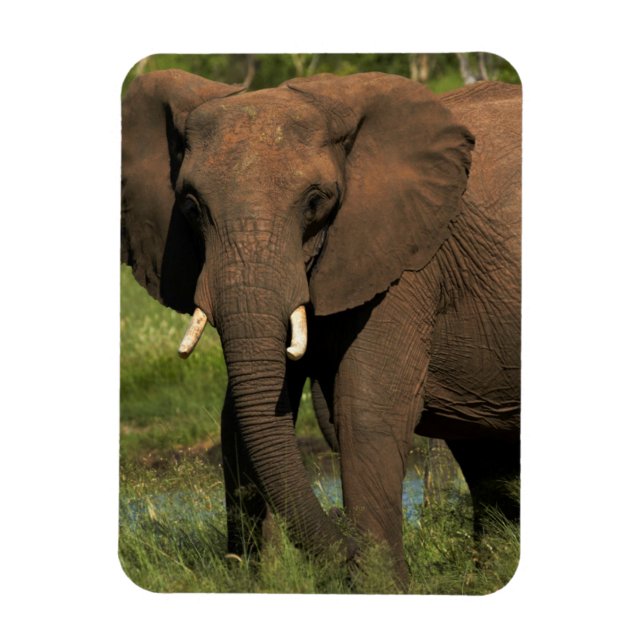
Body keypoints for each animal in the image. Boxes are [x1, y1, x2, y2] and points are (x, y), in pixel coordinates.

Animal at [121, 69, 521, 588]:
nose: (343, 537)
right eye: (190, 207)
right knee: (485, 456)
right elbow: (239, 419)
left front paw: (380, 587)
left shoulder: (407, 258)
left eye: (315, 202)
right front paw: (258, 582)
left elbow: (367, 411)